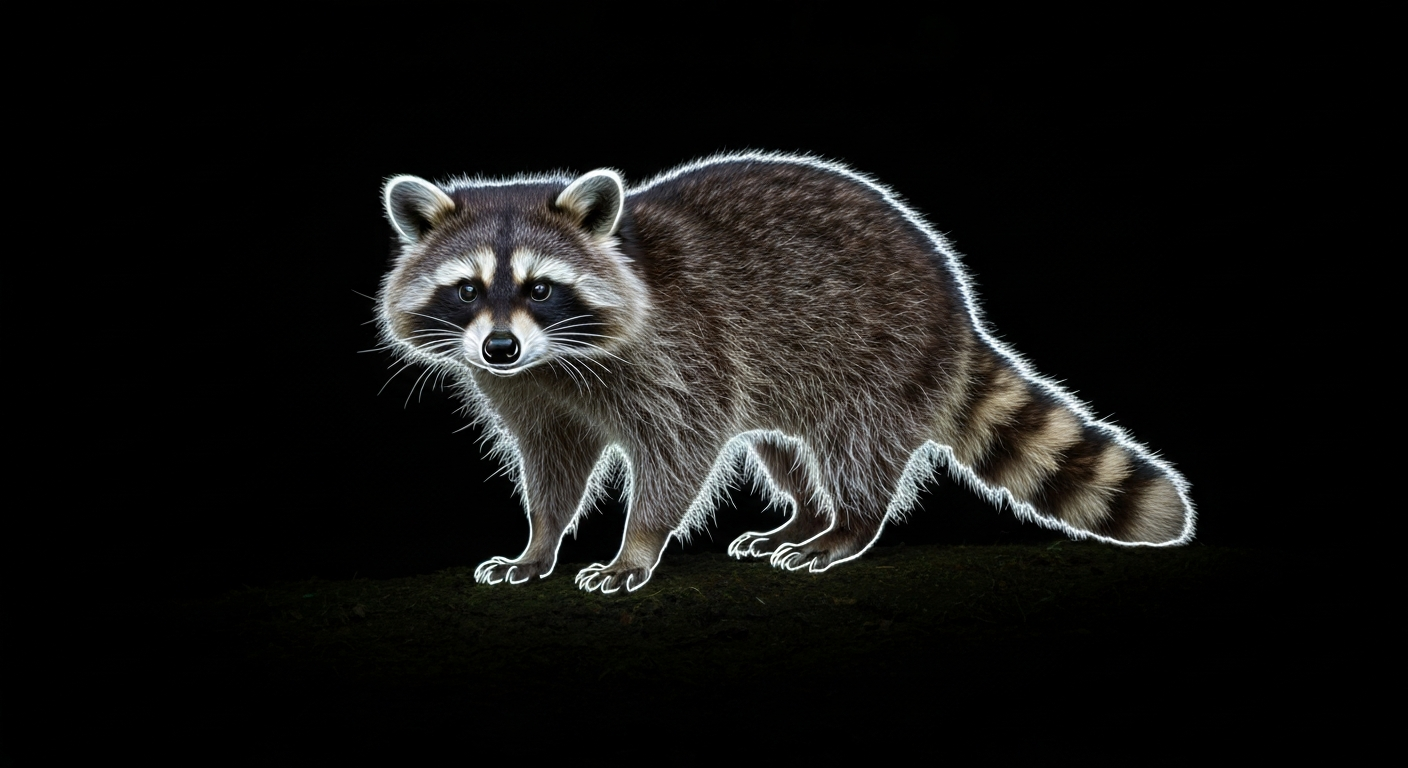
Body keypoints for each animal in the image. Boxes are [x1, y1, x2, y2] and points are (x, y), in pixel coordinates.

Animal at [376, 152, 1194, 594]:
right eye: (467, 291)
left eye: (541, 288)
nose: (499, 348)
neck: (553, 360)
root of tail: (957, 311)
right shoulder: (532, 395)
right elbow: (554, 465)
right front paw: (539, 543)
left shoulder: (681, 352)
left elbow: (681, 451)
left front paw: (636, 545)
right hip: (790, 375)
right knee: (783, 447)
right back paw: (803, 514)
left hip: (880, 356)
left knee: (857, 449)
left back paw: (847, 527)